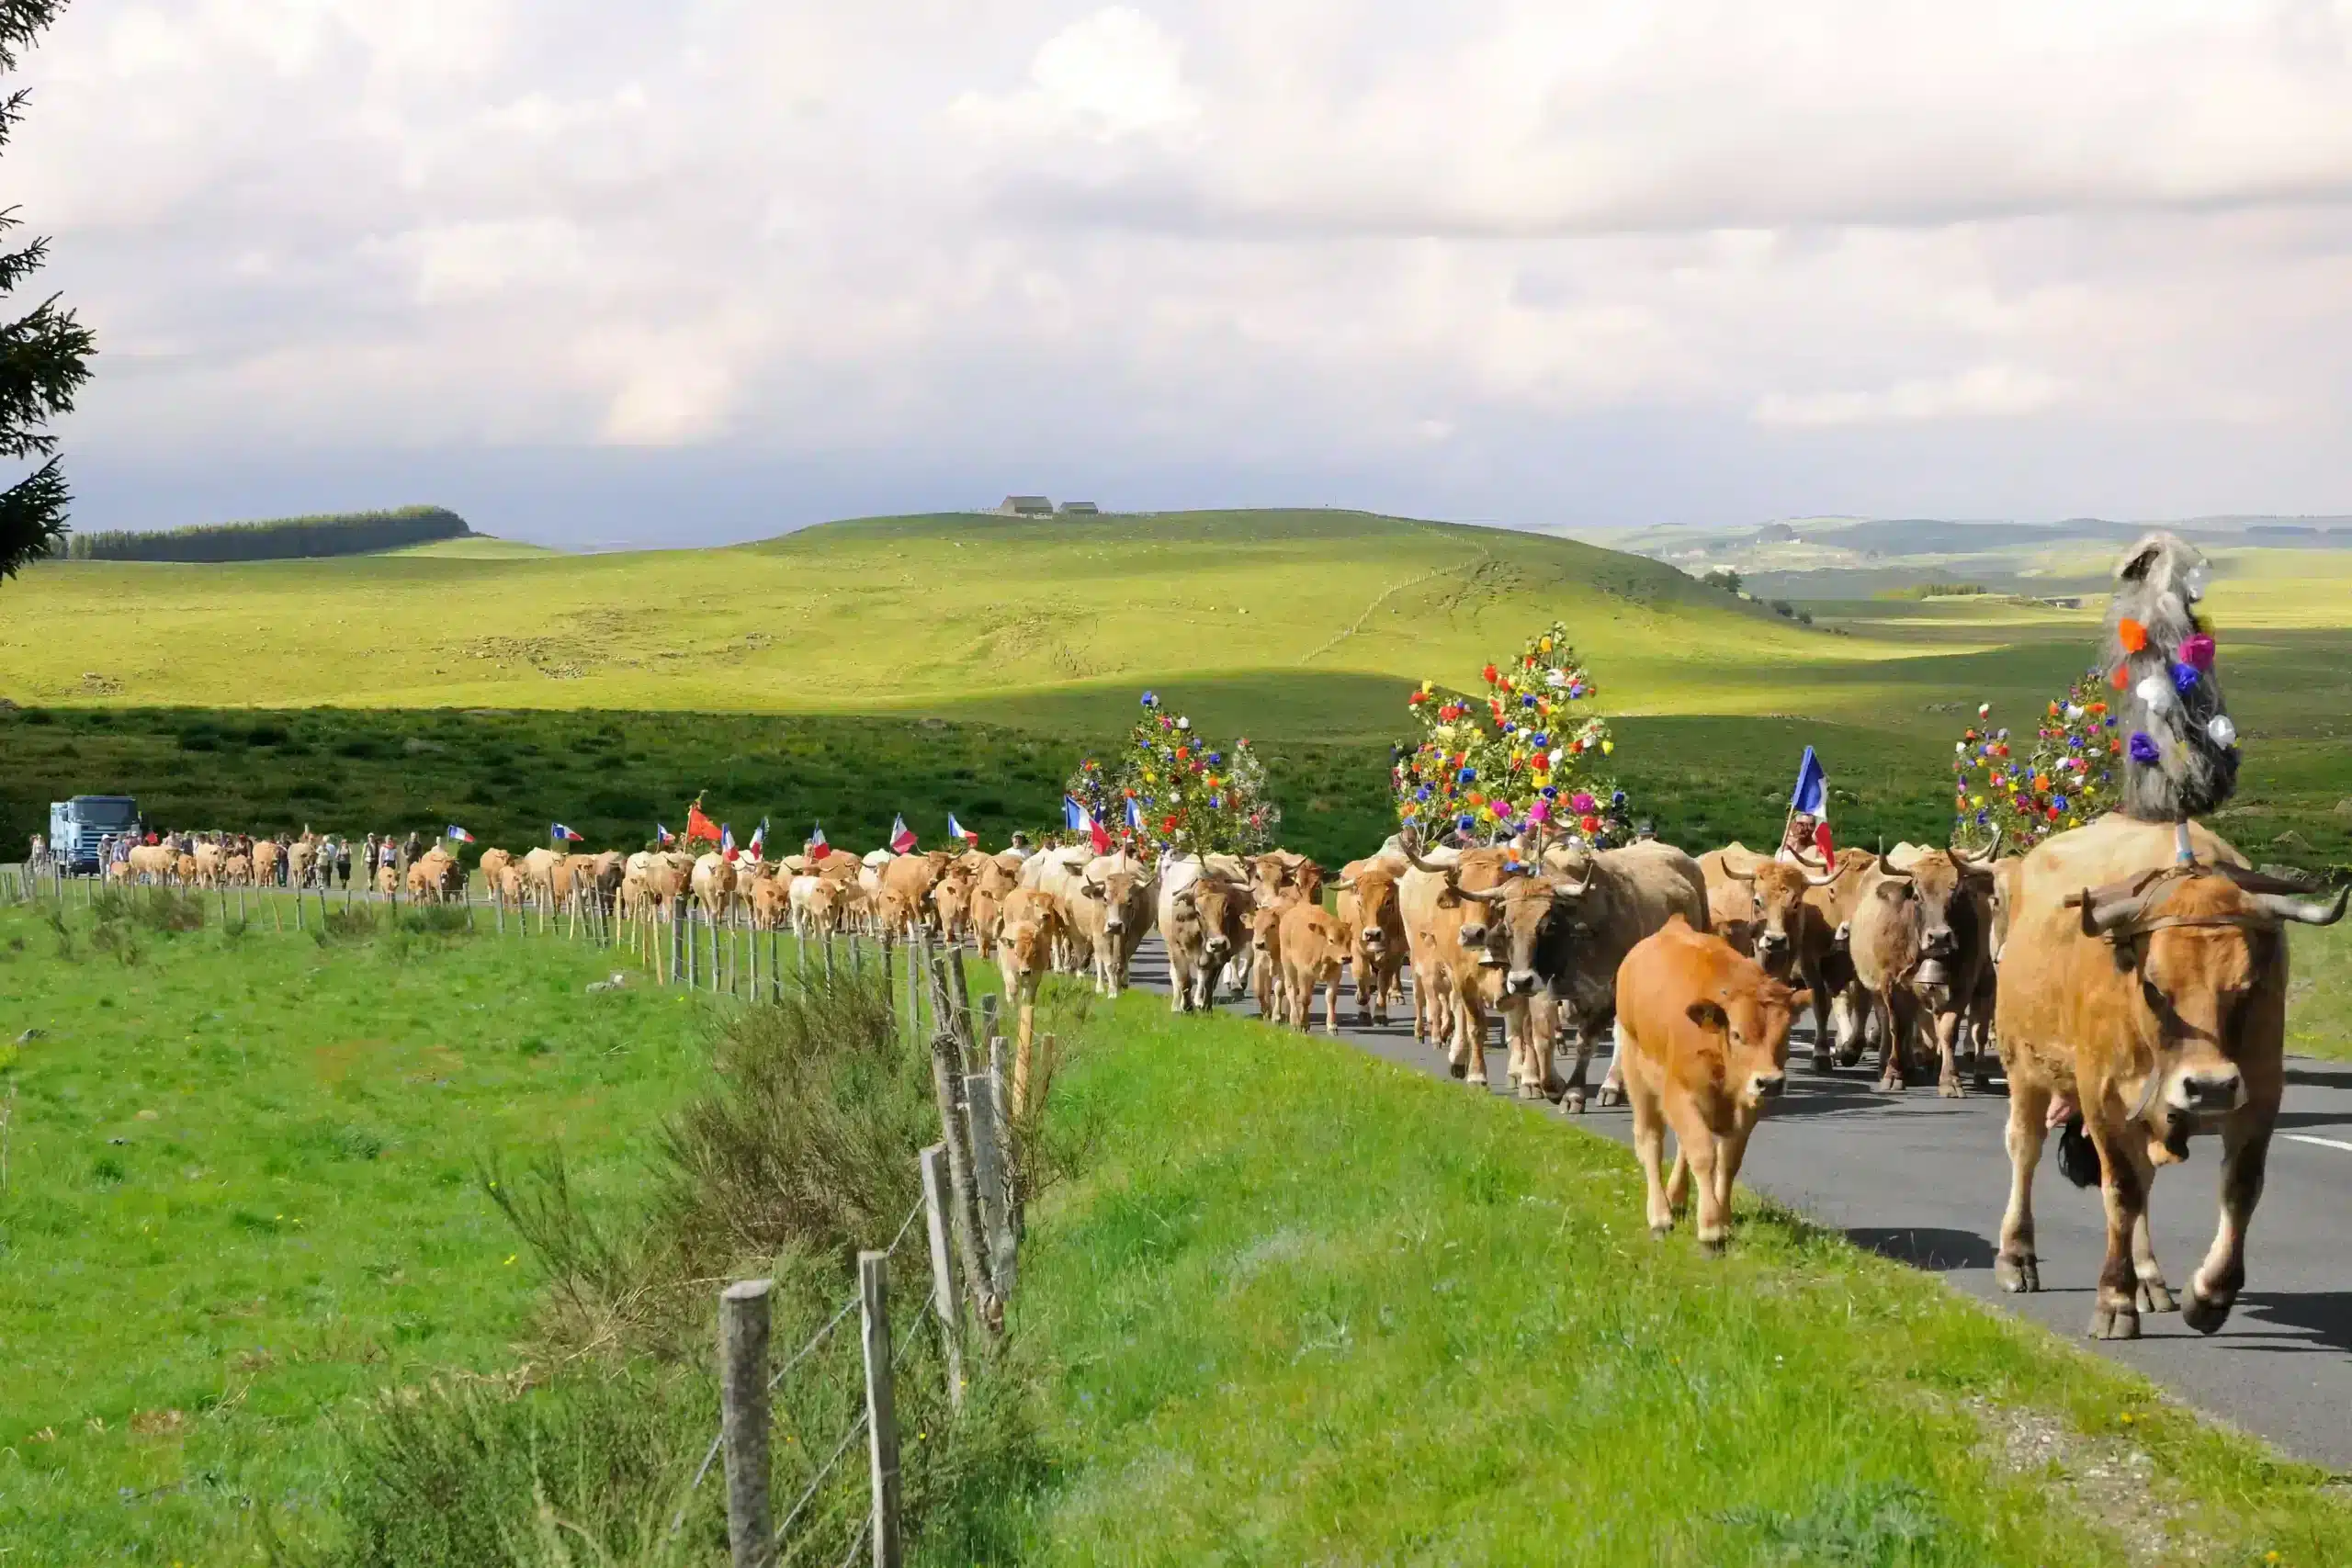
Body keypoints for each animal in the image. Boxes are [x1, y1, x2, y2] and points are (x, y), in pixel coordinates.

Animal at [1609, 911, 1806, 1259]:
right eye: (1737, 1034)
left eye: (1785, 1036)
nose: (1770, 1082)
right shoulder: (1679, 1094)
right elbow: (1703, 1153)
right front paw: (1711, 1229)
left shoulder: (1747, 1107)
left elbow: (1728, 1160)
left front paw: (1723, 1220)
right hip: (1637, 1075)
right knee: (1650, 1140)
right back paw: (1660, 1215)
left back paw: (1676, 1197)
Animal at [1994, 818, 2342, 1344]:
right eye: (2154, 986)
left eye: (2247, 987)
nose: (2211, 1087)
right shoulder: (2103, 1099)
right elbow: (2120, 1191)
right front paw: (2114, 1302)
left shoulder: (2261, 1093)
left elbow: (2240, 1188)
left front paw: (2209, 1296)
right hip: (2023, 1066)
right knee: (2026, 1149)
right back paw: (2017, 1256)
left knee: (2146, 1177)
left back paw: (2148, 1279)